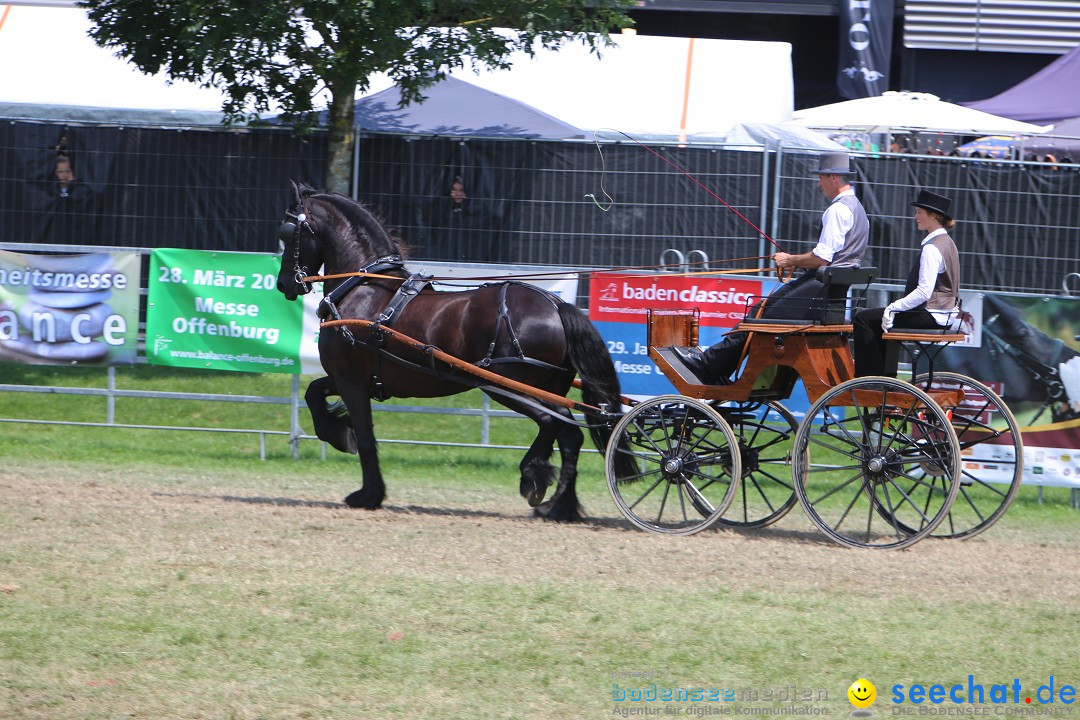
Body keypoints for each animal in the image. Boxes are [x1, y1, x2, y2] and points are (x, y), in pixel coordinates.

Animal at [276, 183, 630, 520]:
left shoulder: (351, 381)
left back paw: (533, 476)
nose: (283, 284)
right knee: (569, 436)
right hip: (546, 389)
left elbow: (364, 436)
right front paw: (338, 432)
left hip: (505, 385)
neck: (364, 290)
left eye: (287, 233)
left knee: (549, 423)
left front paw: (368, 492)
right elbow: (313, 392)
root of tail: (556, 305)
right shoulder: (354, 379)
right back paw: (560, 506)